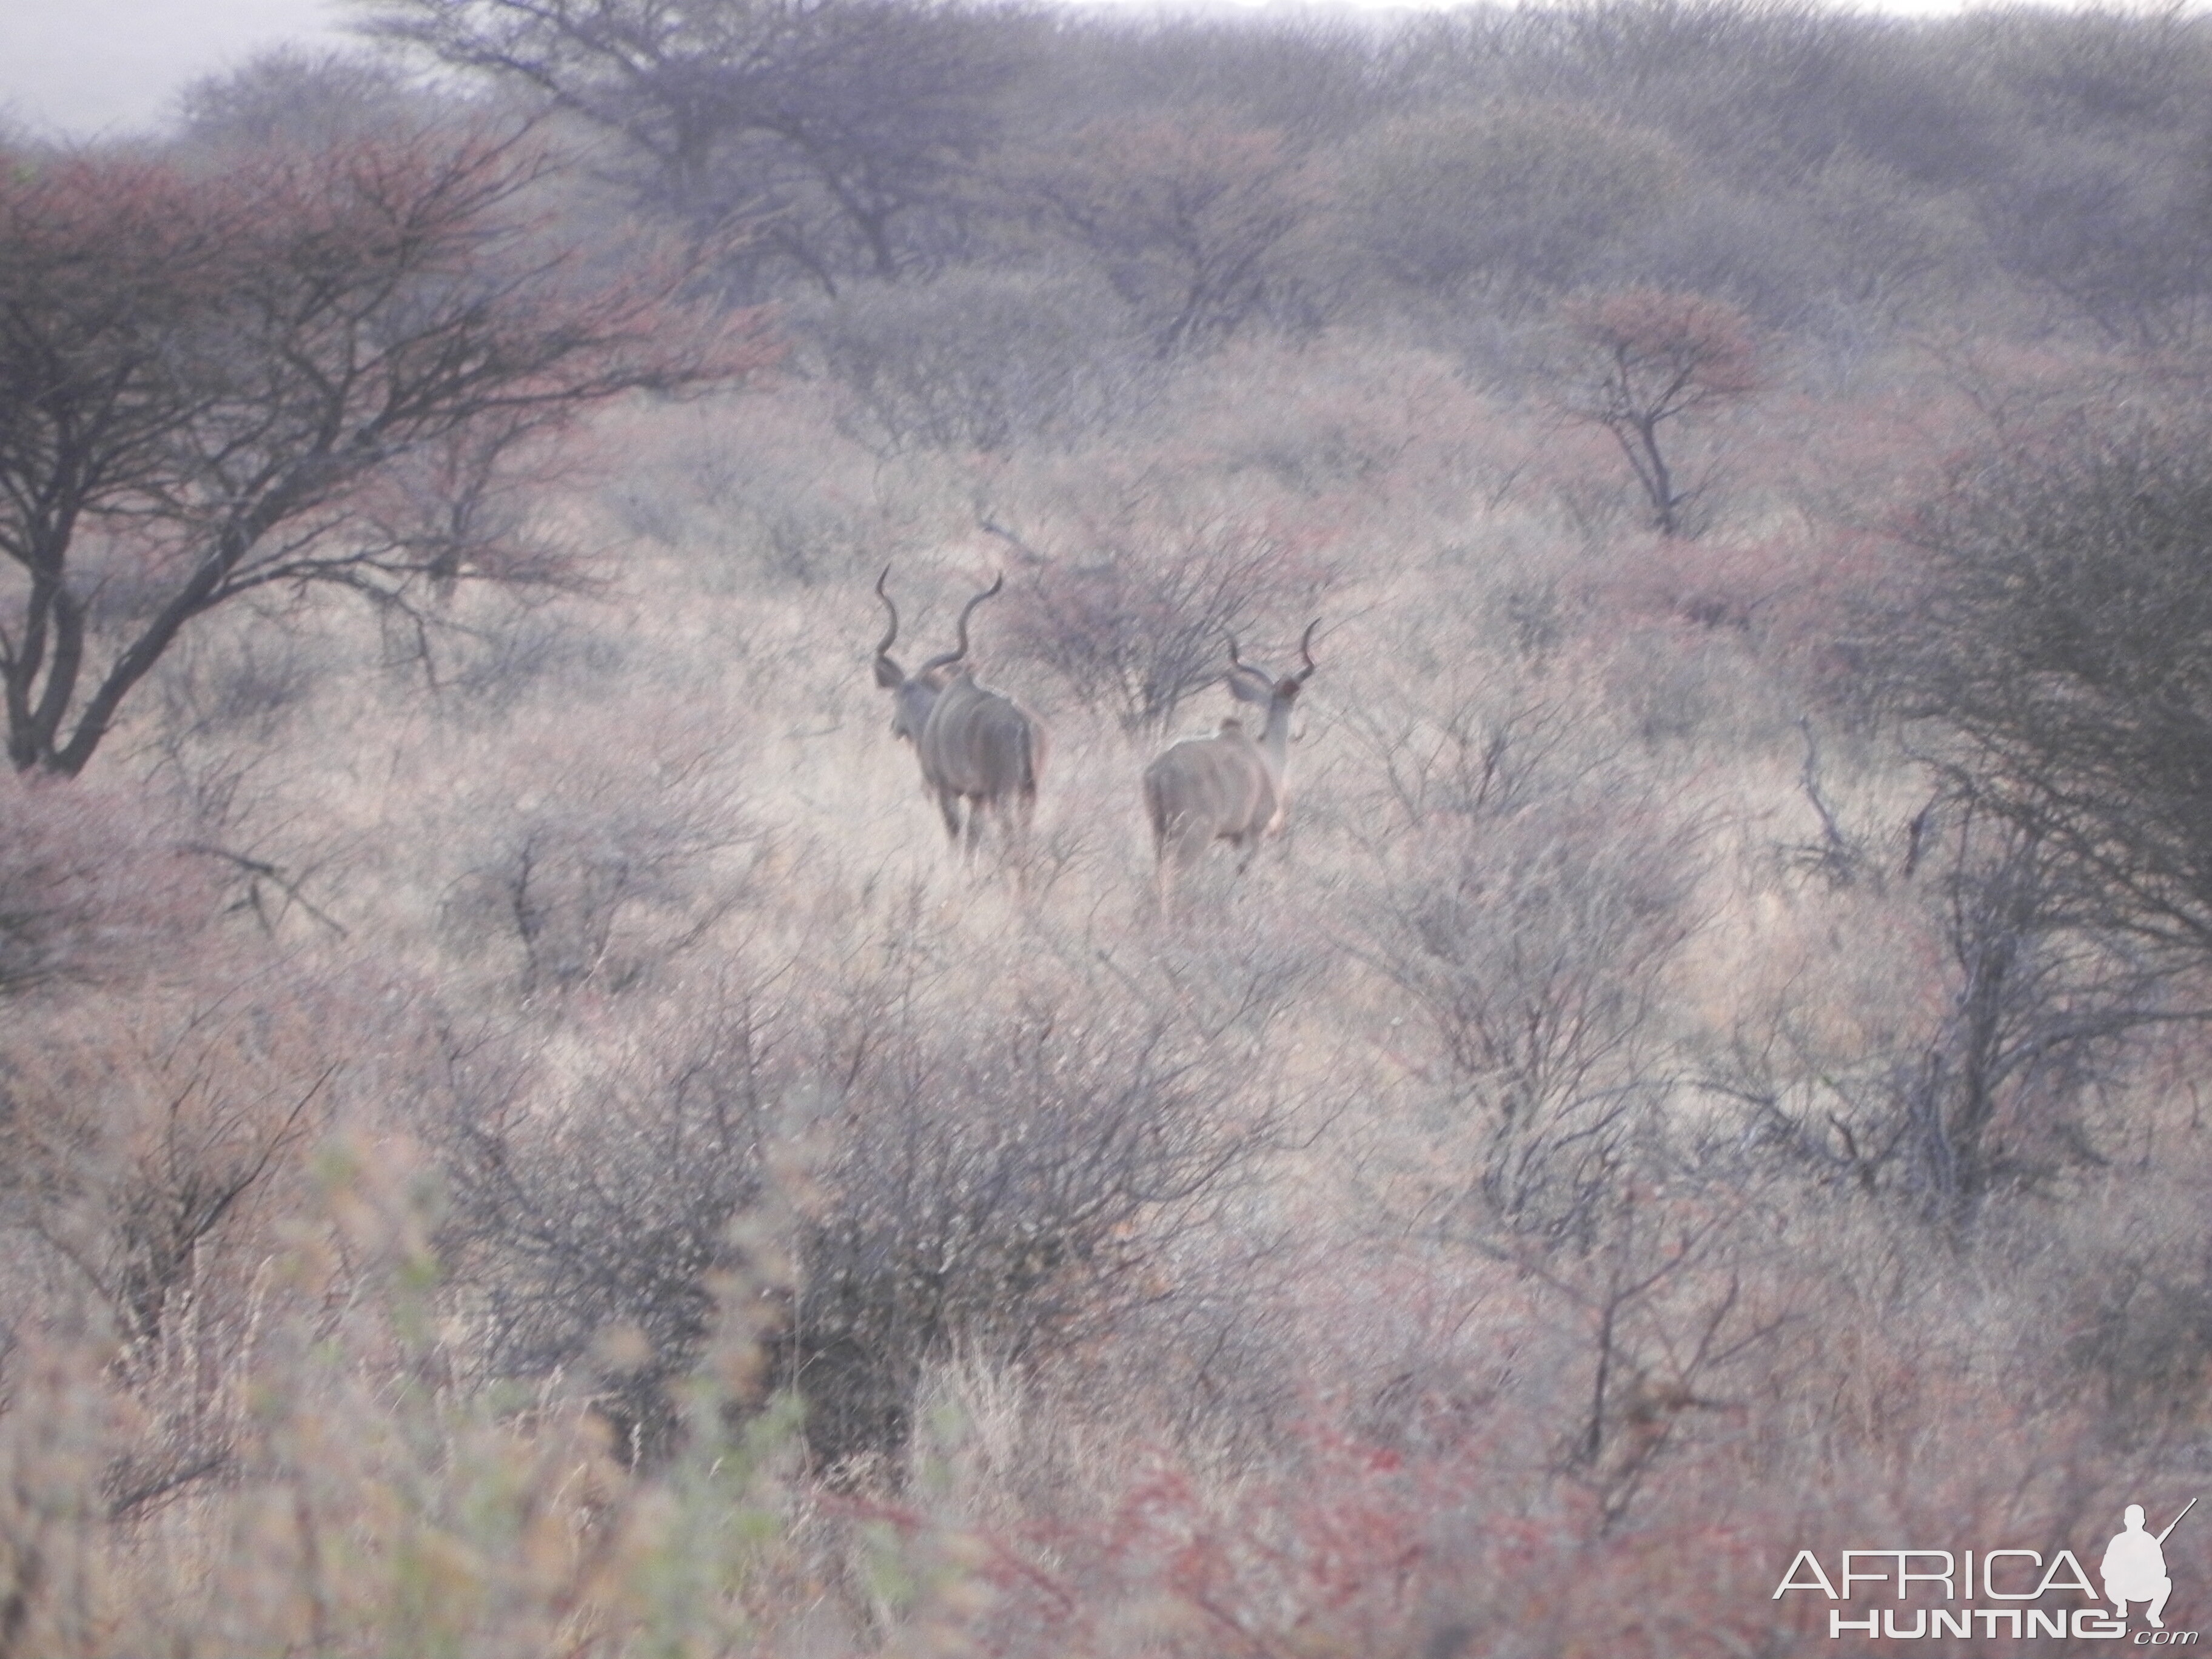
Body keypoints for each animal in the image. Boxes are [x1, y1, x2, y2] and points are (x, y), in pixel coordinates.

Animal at [867, 571, 1039, 862]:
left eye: (895, 698)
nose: (894, 728)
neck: (930, 715)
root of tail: (1020, 723)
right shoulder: (976, 797)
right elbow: (973, 838)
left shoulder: (947, 789)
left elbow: (957, 836)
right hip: (1028, 791)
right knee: (1024, 834)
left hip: (1001, 792)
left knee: (1009, 836)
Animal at [1141, 623, 1309, 911]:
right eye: (1295, 704)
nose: (1299, 733)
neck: (1265, 755)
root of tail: (1160, 772)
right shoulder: (1251, 835)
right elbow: (1242, 878)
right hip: (1192, 837)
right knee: (1169, 880)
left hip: (1160, 834)